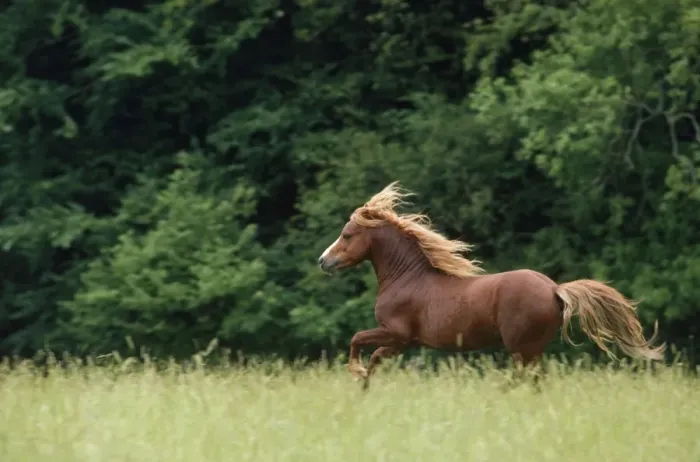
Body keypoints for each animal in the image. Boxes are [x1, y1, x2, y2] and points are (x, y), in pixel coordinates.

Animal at [317, 181, 665, 389]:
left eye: (347, 235)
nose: (323, 261)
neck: (407, 278)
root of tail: (554, 289)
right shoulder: (402, 341)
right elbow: (374, 357)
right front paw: (364, 386)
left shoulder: (396, 333)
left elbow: (357, 340)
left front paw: (357, 374)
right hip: (533, 348)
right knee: (535, 380)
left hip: (520, 346)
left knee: (524, 378)